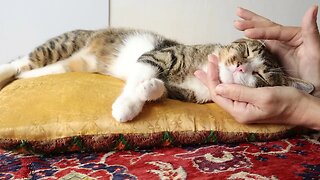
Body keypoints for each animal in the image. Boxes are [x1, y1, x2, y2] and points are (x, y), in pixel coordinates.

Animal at [0, 27, 314, 122]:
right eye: (247, 51)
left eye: (261, 76)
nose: (239, 67)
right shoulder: (158, 56)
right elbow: (139, 77)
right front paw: (126, 107)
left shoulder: (188, 94)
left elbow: (160, 89)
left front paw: (149, 89)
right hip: (61, 45)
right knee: (19, 62)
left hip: (69, 65)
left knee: (32, 71)